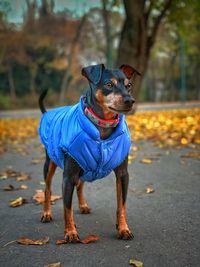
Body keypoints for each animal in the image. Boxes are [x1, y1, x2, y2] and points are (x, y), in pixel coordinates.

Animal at [38, 63, 140, 243]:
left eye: (129, 85)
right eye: (109, 84)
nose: (130, 100)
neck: (102, 126)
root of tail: (48, 113)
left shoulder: (122, 174)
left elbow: (121, 205)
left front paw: (123, 229)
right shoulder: (68, 176)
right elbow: (67, 208)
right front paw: (70, 233)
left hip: (85, 168)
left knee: (80, 185)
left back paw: (83, 205)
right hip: (51, 163)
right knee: (48, 189)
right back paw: (46, 213)